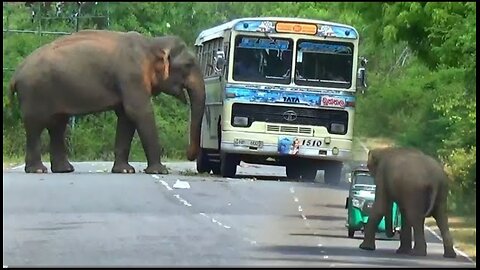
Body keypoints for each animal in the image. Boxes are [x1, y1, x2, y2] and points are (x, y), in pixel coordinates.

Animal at [8, 28, 204, 174]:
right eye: (188, 65)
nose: (189, 155)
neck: (152, 43)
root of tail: (16, 74)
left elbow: (126, 117)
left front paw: (125, 171)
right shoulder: (131, 76)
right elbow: (139, 112)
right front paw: (159, 171)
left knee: (57, 125)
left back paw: (64, 170)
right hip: (33, 92)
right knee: (36, 126)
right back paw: (38, 170)